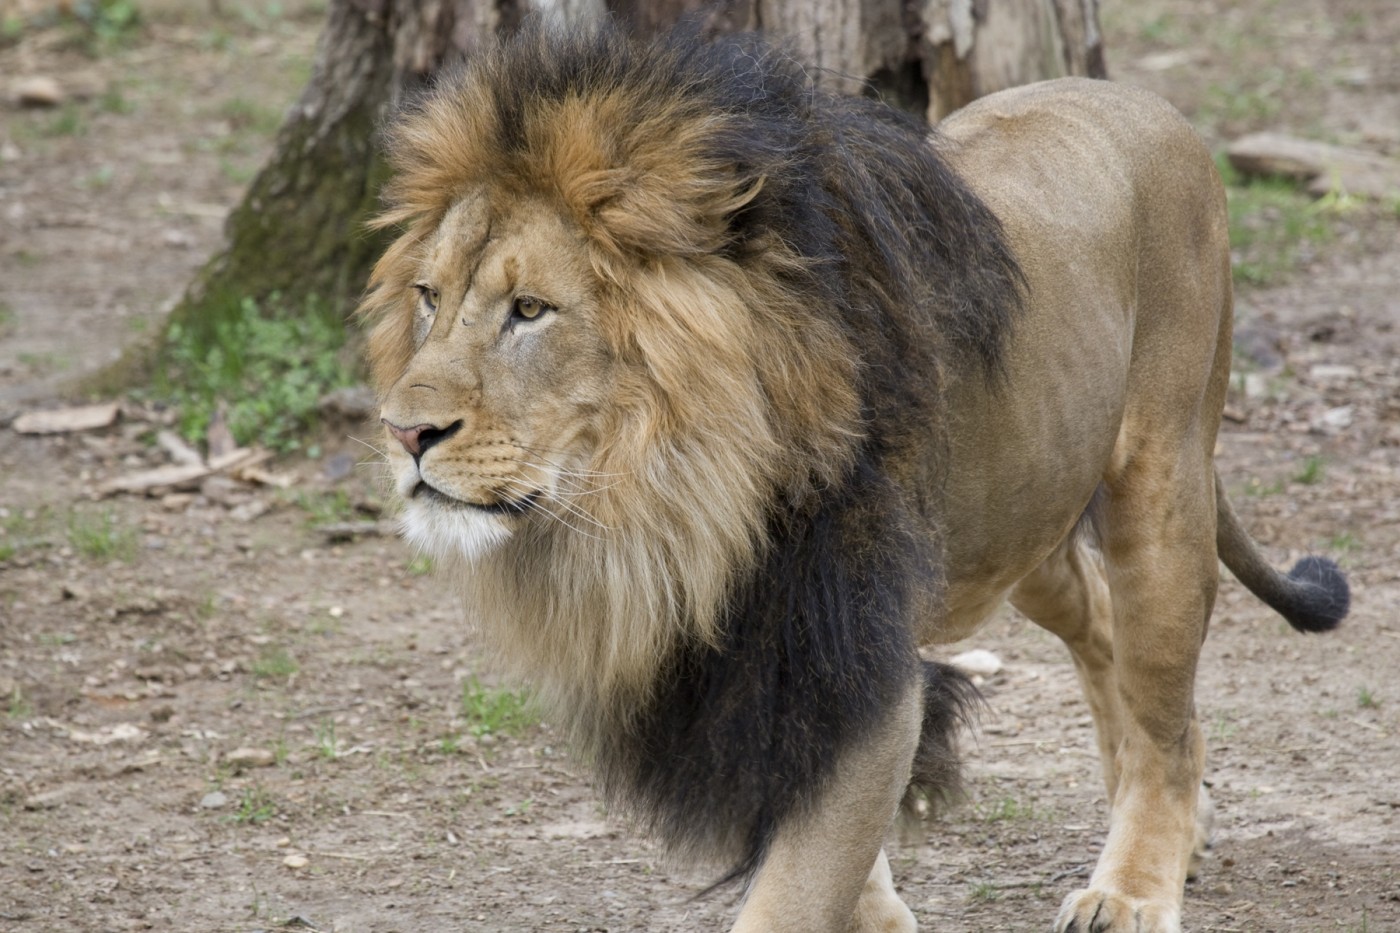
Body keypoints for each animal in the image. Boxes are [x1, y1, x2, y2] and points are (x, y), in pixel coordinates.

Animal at [358, 23, 1344, 930]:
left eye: (530, 310)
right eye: (429, 299)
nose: (404, 431)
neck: (669, 505)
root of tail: (1147, 105)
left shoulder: (852, 658)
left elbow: (794, 890)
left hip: (1162, 485)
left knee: (1162, 710)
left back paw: (1135, 884)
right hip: (1017, 522)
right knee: (1104, 631)